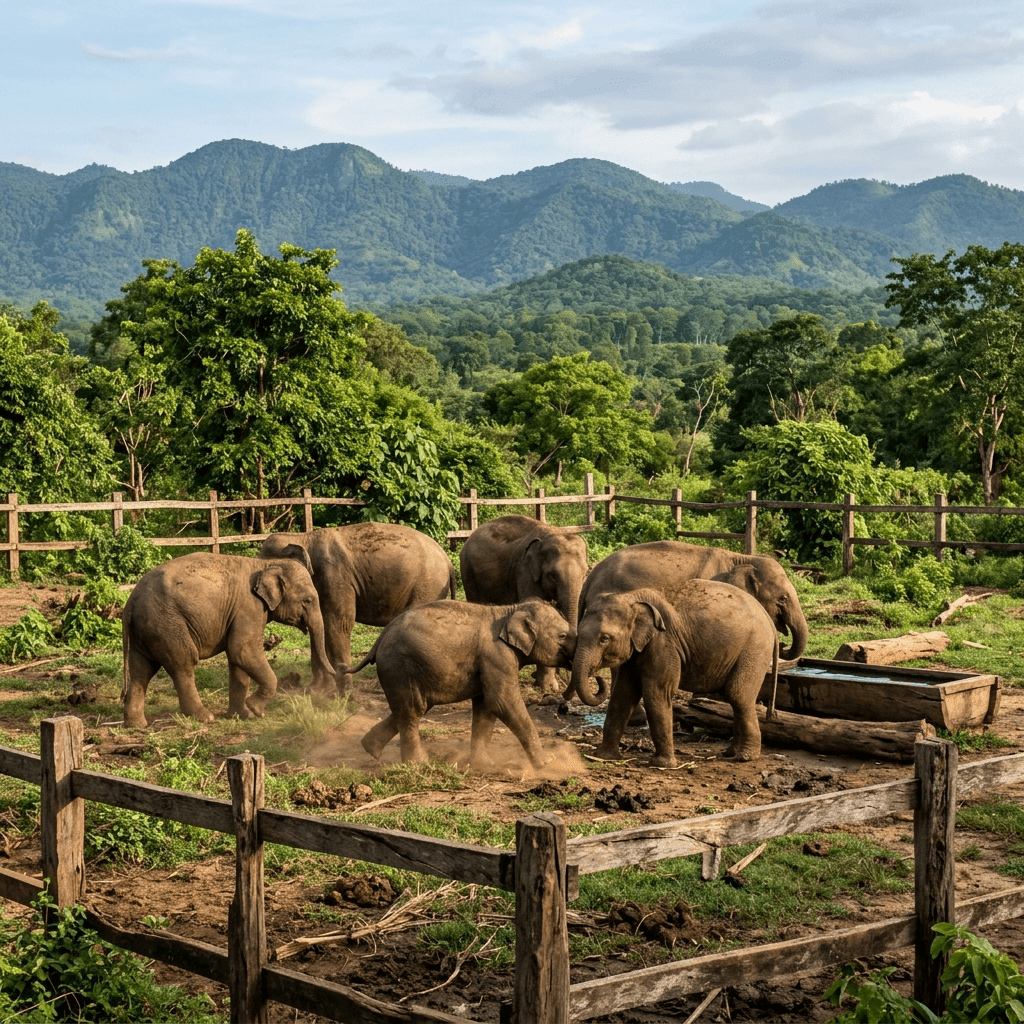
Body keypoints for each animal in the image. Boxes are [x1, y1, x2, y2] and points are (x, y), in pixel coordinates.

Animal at [121, 552, 333, 729]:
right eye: (308, 600)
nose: (335, 672)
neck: (266, 564)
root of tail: (129, 604)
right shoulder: (249, 607)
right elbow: (243, 651)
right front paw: (256, 710)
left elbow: (237, 658)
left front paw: (242, 716)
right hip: (167, 624)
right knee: (183, 664)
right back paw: (204, 717)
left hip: (146, 630)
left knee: (142, 670)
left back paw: (137, 725)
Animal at [259, 522, 456, 695]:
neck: (304, 537)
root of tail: (448, 562)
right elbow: (320, 625)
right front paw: (316, 691)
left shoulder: (336, 577)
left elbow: (338, 625)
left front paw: (344, 693)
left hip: (427, 587)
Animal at [349, 599, 575, 768]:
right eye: (562, 635)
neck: (511, 610)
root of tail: (379, 639)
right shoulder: (497, 655)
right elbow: (502, 702)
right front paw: (545, 764)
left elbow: (486, 706)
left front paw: (485, 764)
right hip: (400, 667)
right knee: (411, 711)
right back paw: (419, 765)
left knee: (409, 709)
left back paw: (371, 748)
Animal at [460, 515, 588, 693]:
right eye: (552, 576)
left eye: (585, 574)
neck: (553, 533)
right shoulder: (525, 572)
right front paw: (548, 688)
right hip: (467, 571)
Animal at [570, 583, 779, 766]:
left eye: (604, 639)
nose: (597, 678)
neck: (631, 597)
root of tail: (770, 621)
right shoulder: (637, 649)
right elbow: (623, 694)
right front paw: (604, 757)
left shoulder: (663, 642)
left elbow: (657, 693)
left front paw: (661, 764)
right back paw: (730, 753)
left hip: (755, 649)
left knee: (738, 695)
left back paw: (745, 757)